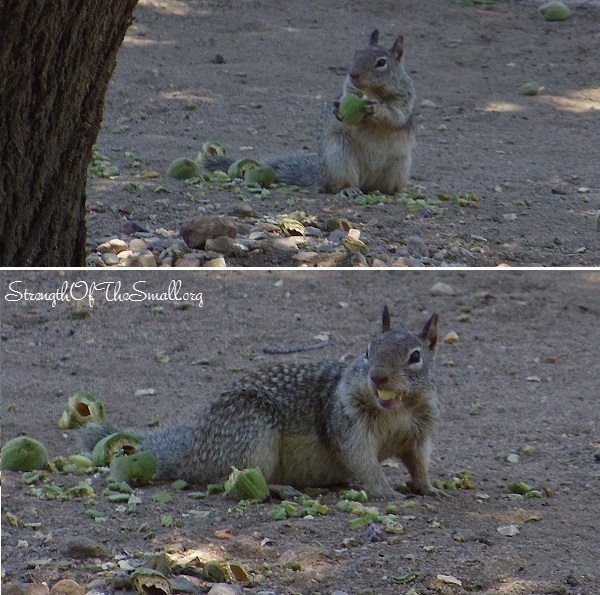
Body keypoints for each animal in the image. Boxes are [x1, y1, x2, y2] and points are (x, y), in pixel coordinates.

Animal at [83, 308, 440, 498]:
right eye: (367, 351)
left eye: (415, 357)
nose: (378, 377)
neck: (395, 411)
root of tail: (192, 455)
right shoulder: (349, 428)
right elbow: (364, 462)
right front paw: (387, 492)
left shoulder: (420, 434)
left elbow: (419, 461)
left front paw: (428, 487)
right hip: (253, 433)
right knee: (235, 478)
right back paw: (280, 489)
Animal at [204, 29, 414, 197]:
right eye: (356, 53)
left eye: (381, 62)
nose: (353, 73)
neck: (372, 92)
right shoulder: (349, 93)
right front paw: (336, 108)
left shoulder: (404, 102)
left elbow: (395, 116)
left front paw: (375, 108)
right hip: (339, 157)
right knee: (341, 184)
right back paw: (349, 189)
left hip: (399, 165)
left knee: (387, 187)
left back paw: (395, 193)